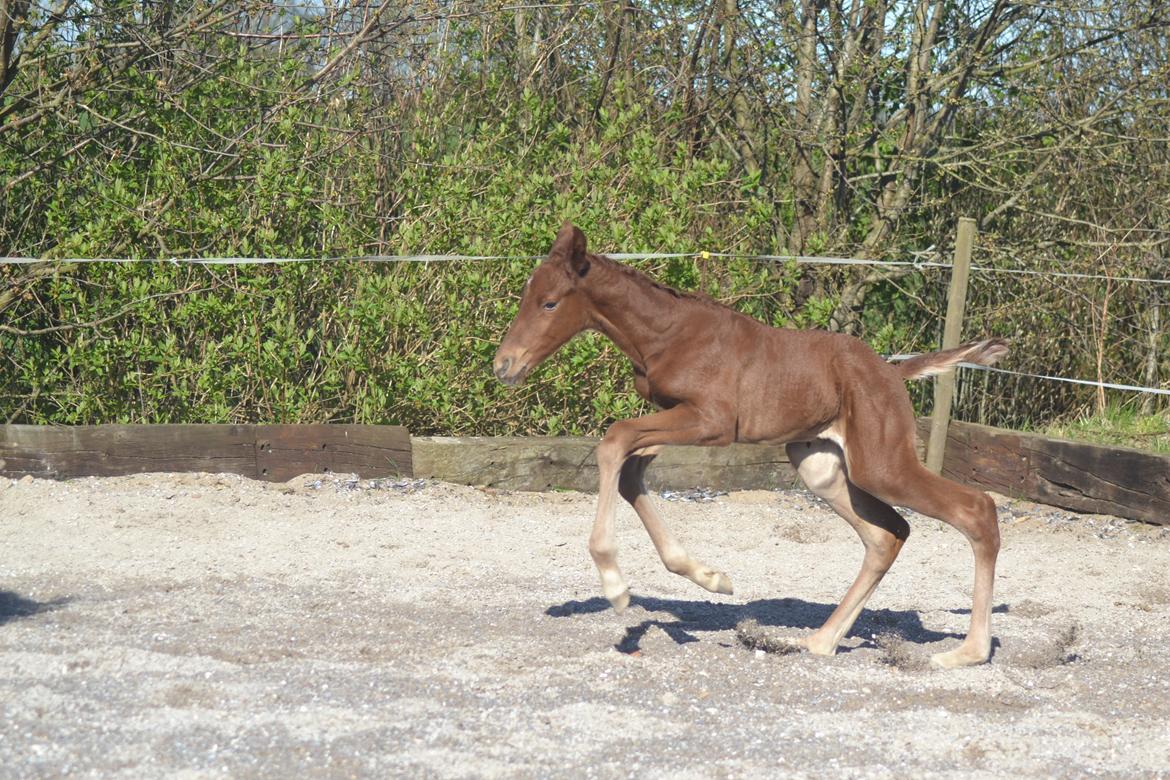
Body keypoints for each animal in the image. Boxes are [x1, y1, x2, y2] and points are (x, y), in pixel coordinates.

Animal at [493, 222, 1006, 668]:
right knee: (887, 534)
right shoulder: (677, 419)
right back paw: (820, 641)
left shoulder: (711, 421)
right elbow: (630, 473)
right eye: (526, 297)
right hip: (821, 466)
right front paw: (711, 578)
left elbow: (613, 440)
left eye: (550, 303)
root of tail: (893, 373)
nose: (504, 365)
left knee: (975, 509)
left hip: (882, 465)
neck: (667, 334)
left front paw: (616, 585)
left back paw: (968, 651)